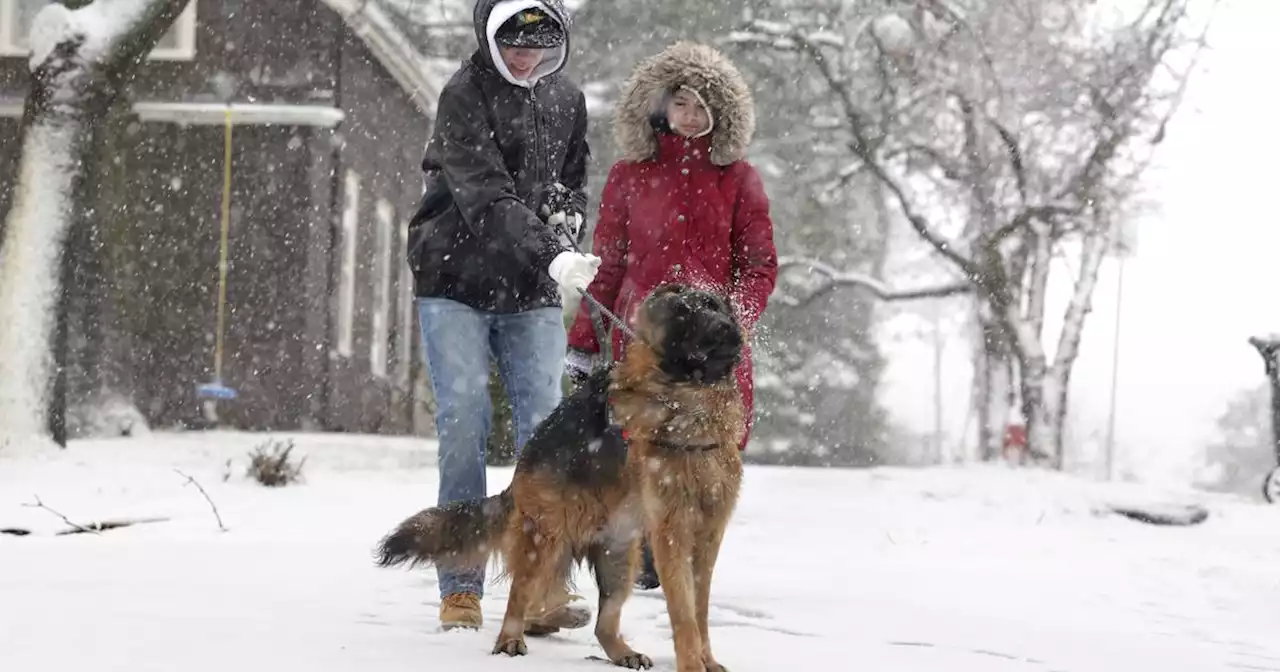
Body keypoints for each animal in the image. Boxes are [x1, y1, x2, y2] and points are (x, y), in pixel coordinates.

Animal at [373, 282, 747, 670]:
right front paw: (692, 664)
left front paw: (707, 660)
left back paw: (619, 651)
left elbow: (699, 607)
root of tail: (520, 470)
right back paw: (510, 638)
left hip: (619, 555)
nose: (726, 328)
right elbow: (683, 610)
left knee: (603, 622)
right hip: (545, 538)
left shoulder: (708, 534)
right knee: (519, 595)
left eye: (711, 305)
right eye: (683, 311)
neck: (687, 395)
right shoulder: (671, 533)